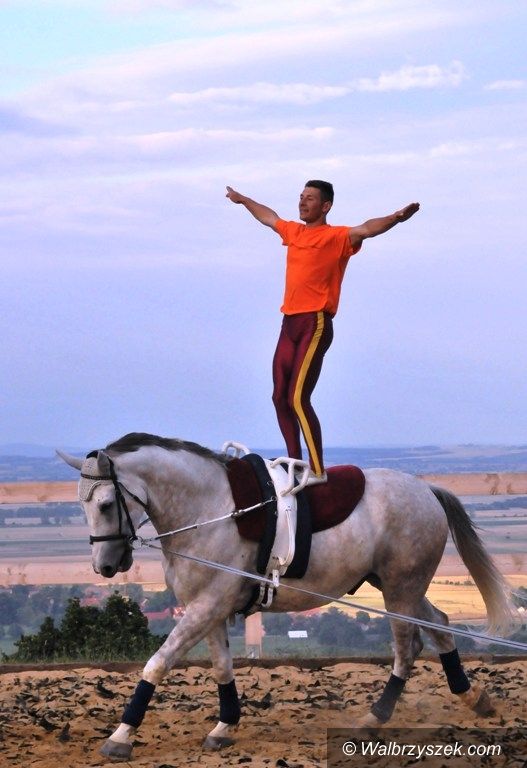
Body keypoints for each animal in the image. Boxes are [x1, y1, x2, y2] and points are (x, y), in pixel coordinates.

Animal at [58, 432, 513, 760]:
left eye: (104, 504)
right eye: (81, 506)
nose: (105, 566)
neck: (209, 510)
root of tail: (426, 489)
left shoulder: (207, 605)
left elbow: (157, 662)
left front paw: (120, 737)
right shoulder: (210, 609)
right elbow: (221, 668)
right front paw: (224, 727)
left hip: (401, 591)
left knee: (408, 647)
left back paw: (374, 718)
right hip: (401, 588)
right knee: (440, 625)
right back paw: (474, 697)